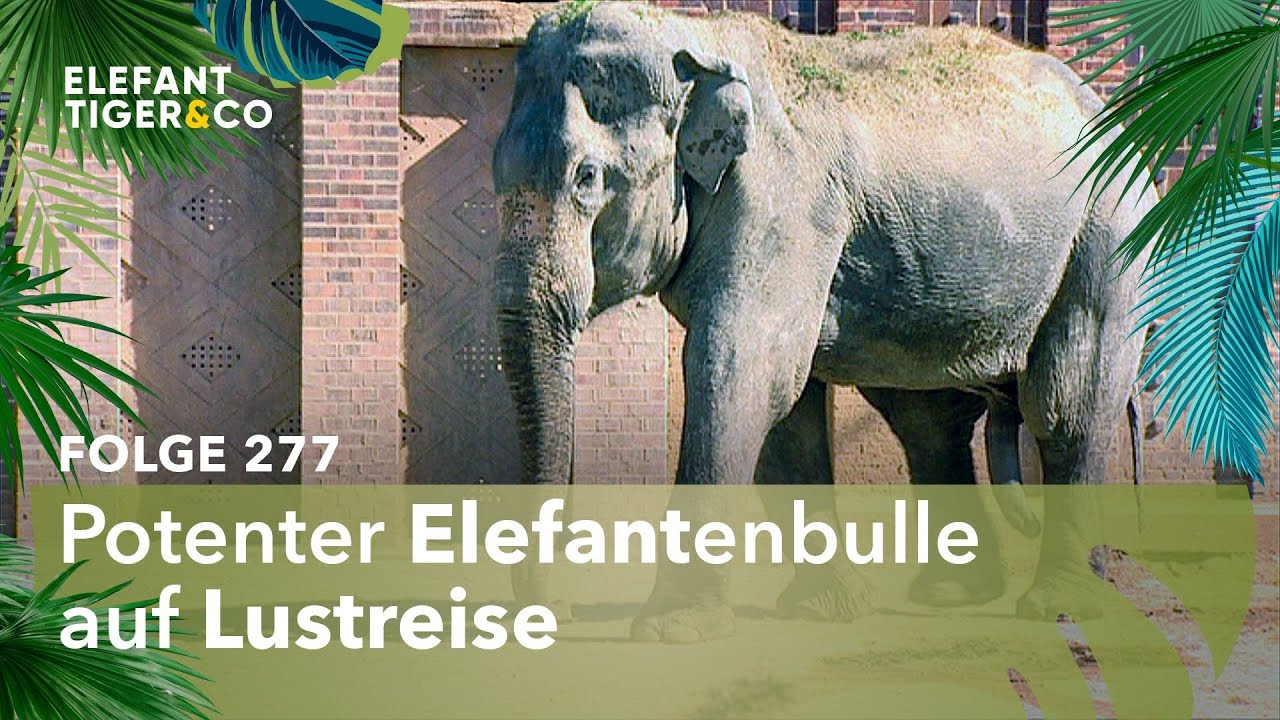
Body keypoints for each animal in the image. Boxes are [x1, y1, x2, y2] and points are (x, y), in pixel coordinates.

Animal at [492, 3, 1155, 642]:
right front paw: (825, 609)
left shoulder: (784, 200)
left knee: (1065, 405)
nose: (555, 611)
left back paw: (1058, 605)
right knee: (927, 418)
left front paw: (672, 630)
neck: (697, 39)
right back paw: (956, 595)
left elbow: (737, 368)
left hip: (1110, 240)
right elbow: (785, 399)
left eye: (587, 176)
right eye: (495, 173)